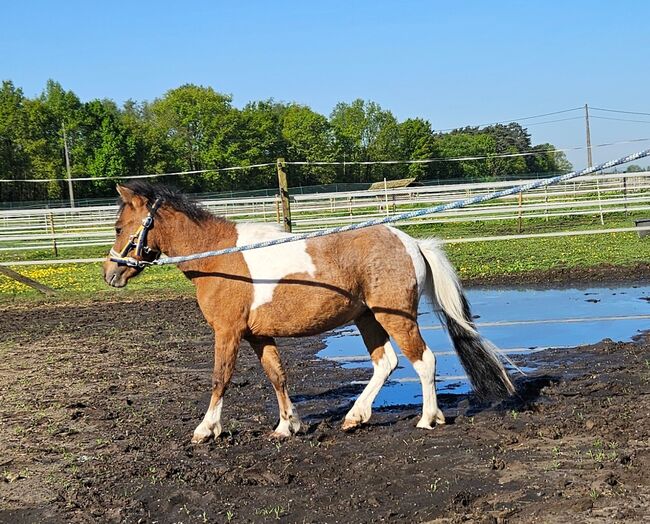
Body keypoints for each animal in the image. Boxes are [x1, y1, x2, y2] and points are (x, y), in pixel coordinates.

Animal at [103, 182, 515, 443]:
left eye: (120, 226)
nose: (110, 274)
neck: (218, 257)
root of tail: (410, 241)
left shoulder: (228, 331)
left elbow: (220, 378)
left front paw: (206, 430)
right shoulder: (257, 335)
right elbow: (277, 376)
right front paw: (289, 426)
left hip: (395, 317)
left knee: (424, 360)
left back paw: (428, 418)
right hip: (367, 318)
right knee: (386, 363)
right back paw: (356, 417)